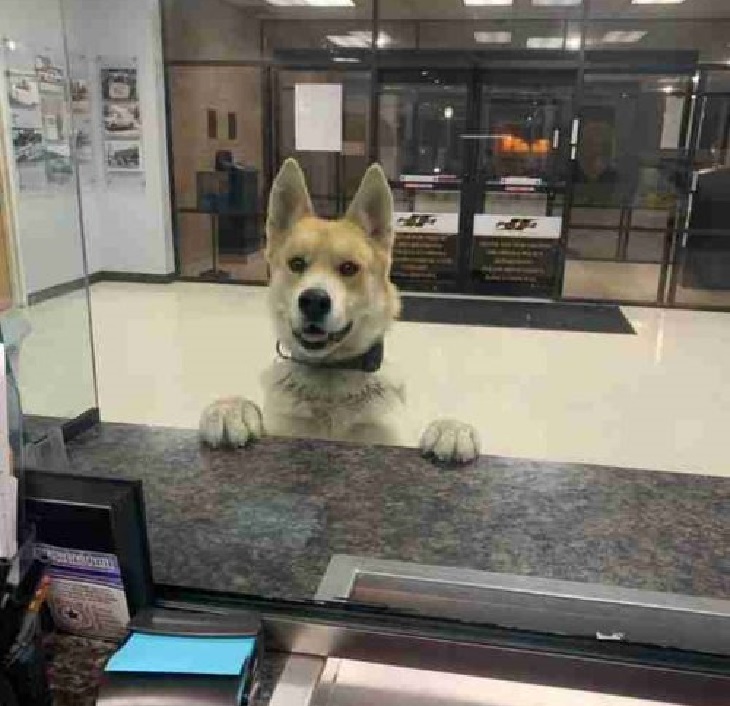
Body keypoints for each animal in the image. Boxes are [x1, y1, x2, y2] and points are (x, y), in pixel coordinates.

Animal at [199, 157, 480, 462]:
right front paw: (230, 408)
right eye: (296, 264)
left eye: (348, 268)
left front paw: (451, 428)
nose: (314, 301)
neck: (330, 375)